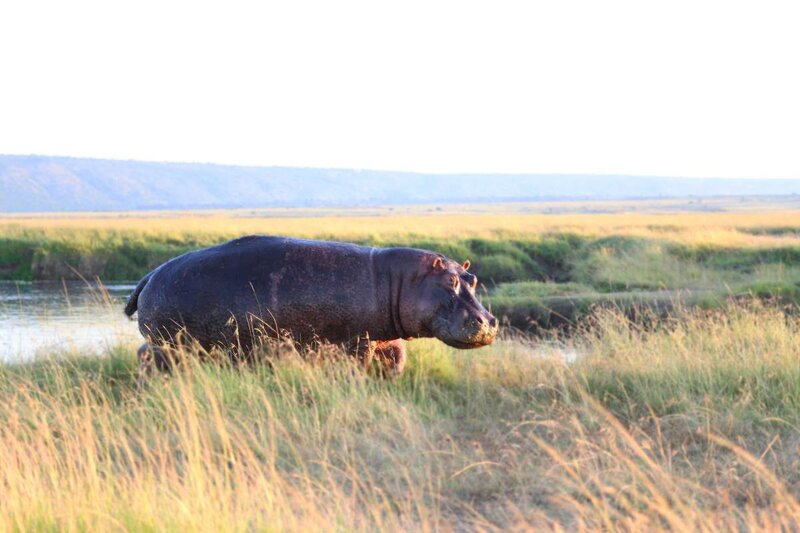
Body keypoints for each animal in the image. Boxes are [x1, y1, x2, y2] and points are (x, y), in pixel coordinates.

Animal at [124, 235, 498, 375]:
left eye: (472, 278)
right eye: (448, 282)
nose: (489, 322)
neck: (402, 280)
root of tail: (149, 274)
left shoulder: (382, 337)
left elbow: (397, 359)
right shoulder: (357, 341)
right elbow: (358, 368)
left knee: (142, 352)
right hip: (173, 344)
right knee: (149, 358)